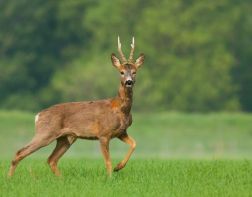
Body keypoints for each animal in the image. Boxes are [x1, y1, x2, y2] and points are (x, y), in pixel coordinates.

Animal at [7, 37, 144, 177]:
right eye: (121, 72)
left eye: (134, 72)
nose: (129, 82)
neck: (120, 109)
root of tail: (38, 115)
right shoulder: (103, 133)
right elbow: (108, 161)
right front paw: (110, 176)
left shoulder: (121, 132)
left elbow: (134, 143)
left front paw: (119, 167)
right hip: (45, 132)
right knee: (20, 152)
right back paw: (9, 178)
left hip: (66, 138)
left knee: (51, 159)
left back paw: (61, 179)